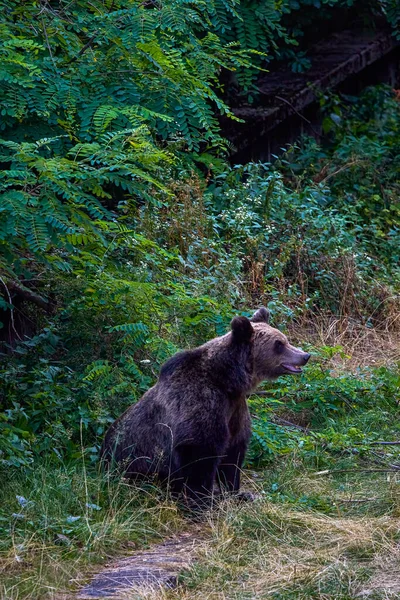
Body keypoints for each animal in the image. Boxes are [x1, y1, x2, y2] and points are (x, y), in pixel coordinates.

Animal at [100, 308, 310, 504]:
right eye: (279, 344)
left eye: (285, 339)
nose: (305, 355)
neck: (229, 381)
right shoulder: (202, 403)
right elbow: (200, 454)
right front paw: (202, 500)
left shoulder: (235, 409)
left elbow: (233, 455)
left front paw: (236, 492)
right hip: (136, 463)